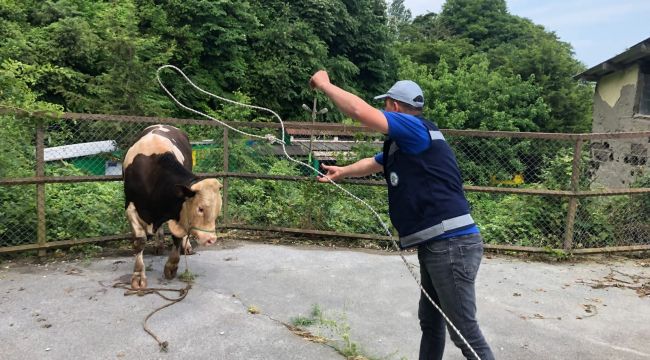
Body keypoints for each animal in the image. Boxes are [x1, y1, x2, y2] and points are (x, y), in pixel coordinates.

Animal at [123, 125, 221, 288]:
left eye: (217, 211)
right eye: (200, 209)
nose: (211, 239)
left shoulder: (176, 211)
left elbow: (177, 237)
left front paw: (171, 266)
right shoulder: (131, 207)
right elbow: (139, 241)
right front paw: (138, 276)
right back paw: (159, 244)